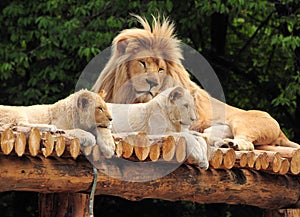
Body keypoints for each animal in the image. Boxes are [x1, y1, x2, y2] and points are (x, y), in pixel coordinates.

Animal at [92, 14, 300, 150]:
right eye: (142, 63)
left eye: (161, 70)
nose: (153, 83)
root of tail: (281, 132)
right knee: (209, 135)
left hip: (243, 121)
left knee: (246, 143)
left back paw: (232, 144)